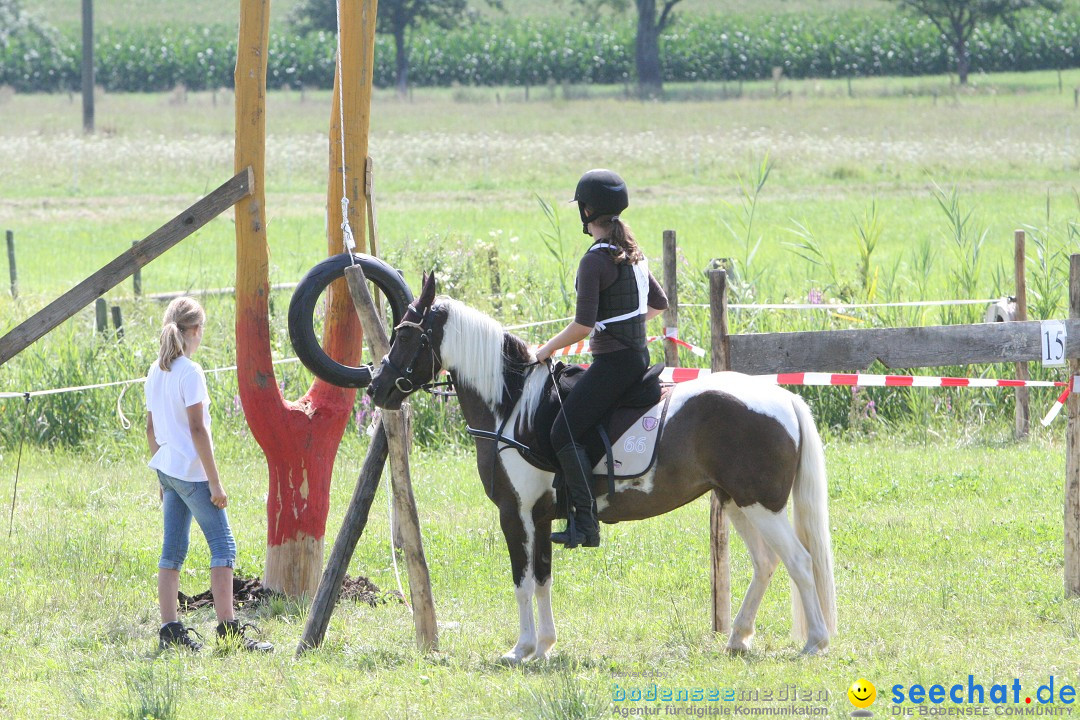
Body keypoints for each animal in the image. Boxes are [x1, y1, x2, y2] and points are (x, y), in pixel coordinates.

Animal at [367, 274, 838, 664]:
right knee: (766, 563)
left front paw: (521, 649)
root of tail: (783, 398)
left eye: (405, 336)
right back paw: (739, 638)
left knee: (799, 561)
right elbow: (542, 579)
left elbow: (522, 580)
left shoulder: (516, 514)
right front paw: (545, 646)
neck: (513, 405)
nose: (375, 388)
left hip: (760, 506)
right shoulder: (541, 517)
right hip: (738, 503)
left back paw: (815, 642)